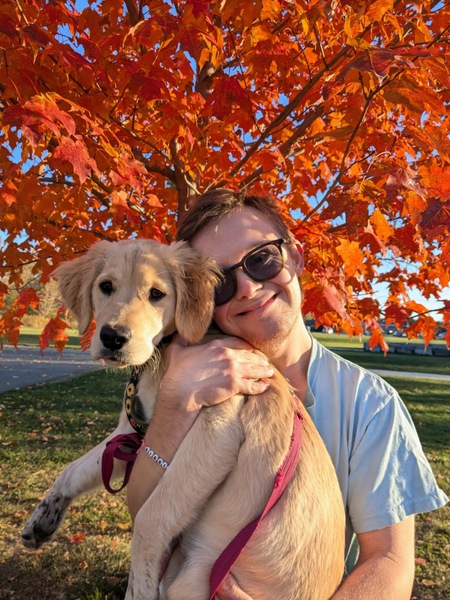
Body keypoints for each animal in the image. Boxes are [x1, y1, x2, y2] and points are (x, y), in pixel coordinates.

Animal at [21, 239, 344, 600]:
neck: (160, 361)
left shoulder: (217, 428)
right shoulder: (131, 433)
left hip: (191, 579)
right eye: (105, 286)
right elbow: (72, 470)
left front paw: (139, 588)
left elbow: (149, 518)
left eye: (157, 294)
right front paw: (41, 520)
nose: (112, 338)